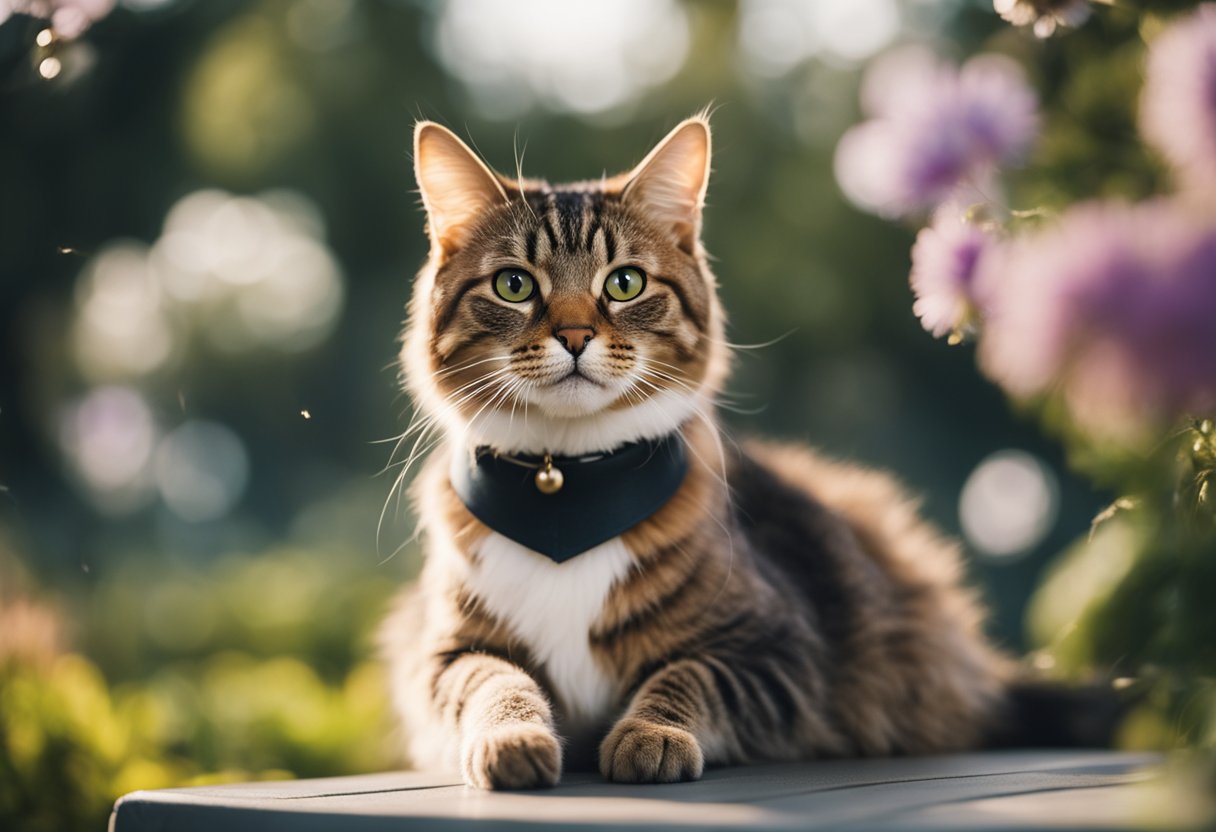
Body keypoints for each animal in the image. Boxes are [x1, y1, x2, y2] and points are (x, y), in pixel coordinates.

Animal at [376, 115, 1016, 788]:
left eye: (624, 283)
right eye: (514, 285)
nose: (575, 336)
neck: (567, 490)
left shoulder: (776, 647)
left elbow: (689, 675)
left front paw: (652, 734)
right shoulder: (443, 653)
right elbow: (492, 683)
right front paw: (514, 738)